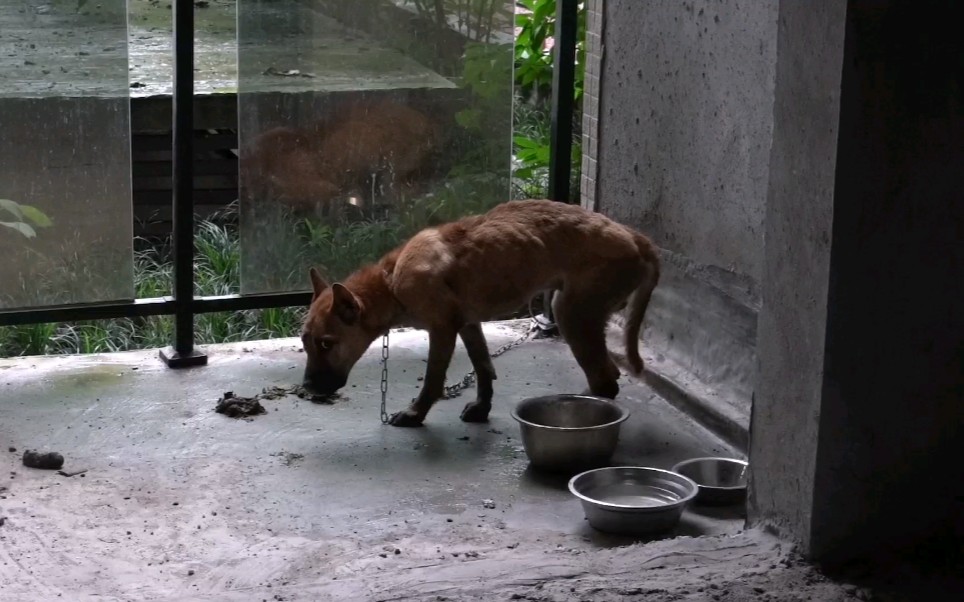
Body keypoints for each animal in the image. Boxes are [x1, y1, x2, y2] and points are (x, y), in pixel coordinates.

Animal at [304, 199, 664, 424]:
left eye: (326, 344)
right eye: (305, 343)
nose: (307, 389)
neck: (390, 281)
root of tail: (635, 237)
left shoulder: (442, 329)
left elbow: (433, 379)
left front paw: (416, 413)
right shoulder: (468, 323)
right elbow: (484, 368)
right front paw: (481, 408)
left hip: (570, 313)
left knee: (605, 379)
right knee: (608, 376)